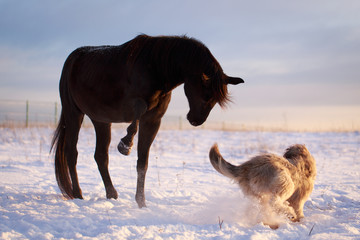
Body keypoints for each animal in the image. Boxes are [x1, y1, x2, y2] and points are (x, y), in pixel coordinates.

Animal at [50, 34, 243, 208]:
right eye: (206, 94)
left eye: (215, 99)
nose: (196, 120)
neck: (156, 68)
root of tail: (72, 59)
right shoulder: (136, 106)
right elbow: (139, 110)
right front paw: (125, 144)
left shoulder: (153, 121)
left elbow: (143, 163)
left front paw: (141, 202)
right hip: (73, 113)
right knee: (71, 152)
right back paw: (77, 194)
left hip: (101, 120)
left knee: (101, 156)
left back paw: (111, 194)